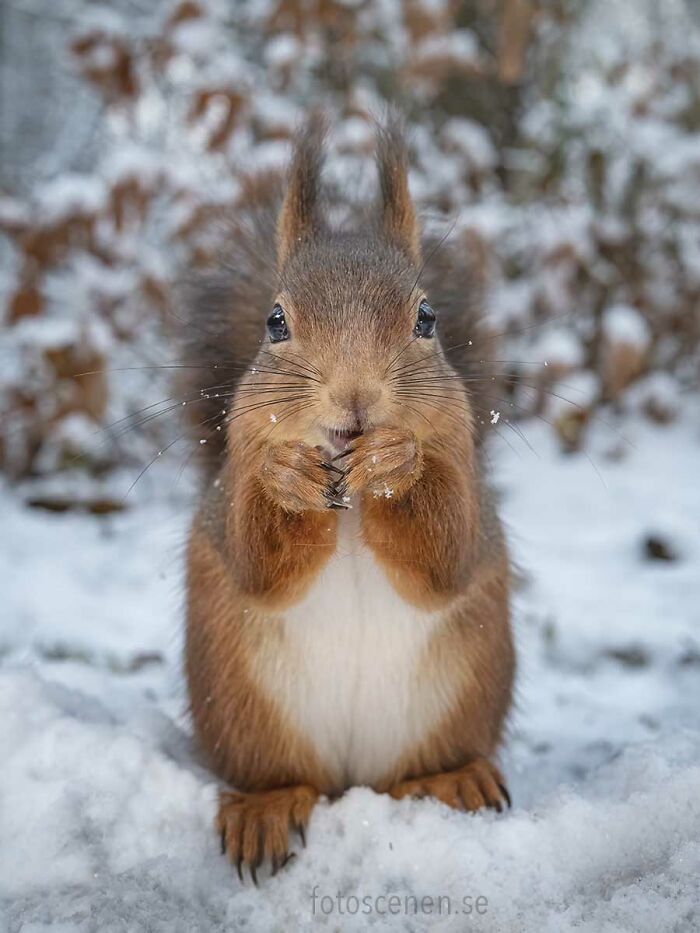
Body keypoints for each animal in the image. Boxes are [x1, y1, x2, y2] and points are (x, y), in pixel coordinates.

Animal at [182, 115, 515, 881]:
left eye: (428, 318)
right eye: (275, 322)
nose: (355, 398)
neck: (351, 495)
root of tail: (354, 780)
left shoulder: (464, 473)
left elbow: (446, 554)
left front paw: (396, 460)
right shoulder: (231, 478)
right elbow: (256, 563)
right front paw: (287, 478)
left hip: (465, 696)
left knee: (421, 768)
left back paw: (453, 777)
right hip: (240, 706)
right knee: (280, 775)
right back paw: (265, 807)